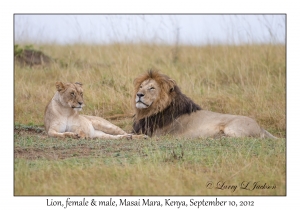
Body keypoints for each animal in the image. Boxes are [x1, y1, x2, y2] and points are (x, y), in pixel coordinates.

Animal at [132, 69, 278, 139]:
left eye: (152, 88)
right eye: (141, 86)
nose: (139, 95)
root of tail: (260, 127)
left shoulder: (156, 134)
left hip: (233, 128)